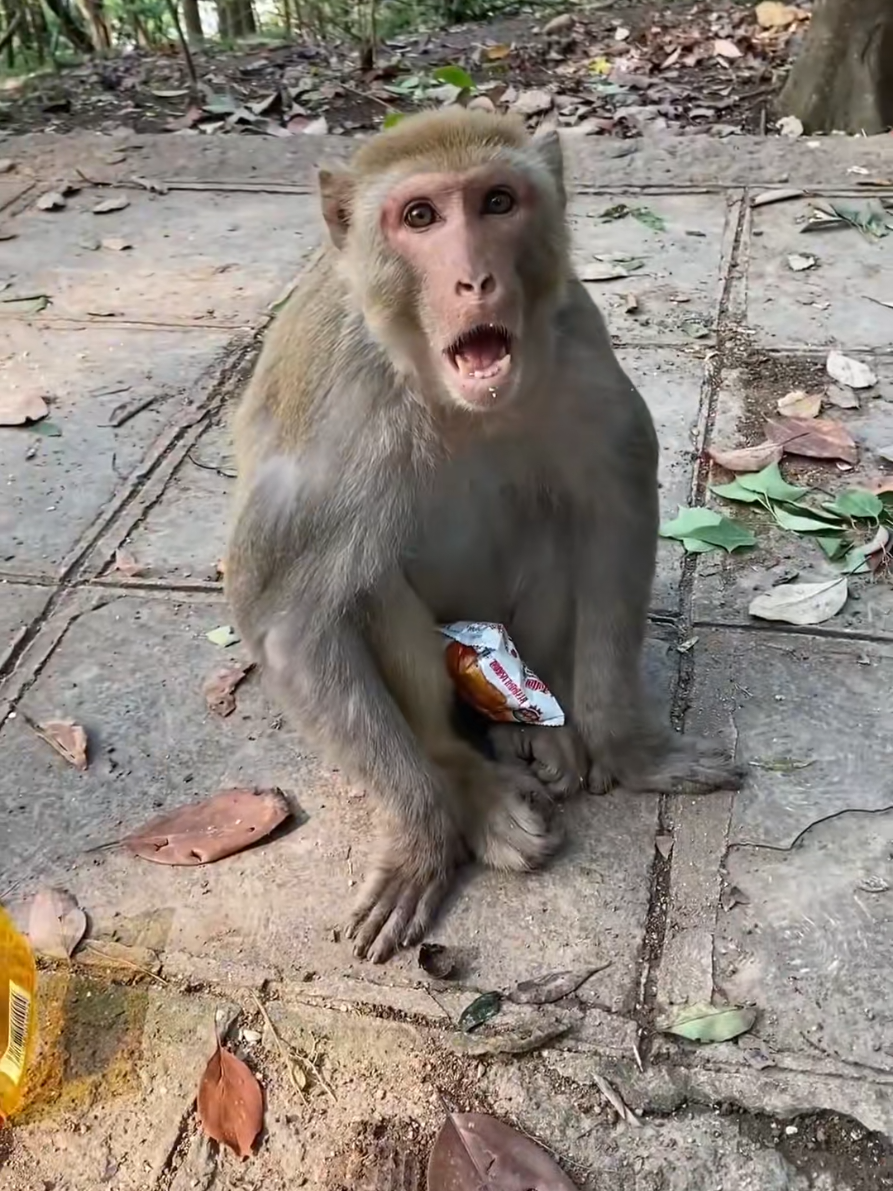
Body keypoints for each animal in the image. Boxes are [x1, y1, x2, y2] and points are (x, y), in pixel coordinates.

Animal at [224, 107, 744, 964]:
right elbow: (287, 616)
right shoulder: (342, 407)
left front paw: (630, 748)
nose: (474, 280)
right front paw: (424, 837)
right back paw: (466, 778)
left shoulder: (574, 339)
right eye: (420, 217)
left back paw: (542, 726)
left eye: (497, 202)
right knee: (362, 580)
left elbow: (613, 508)